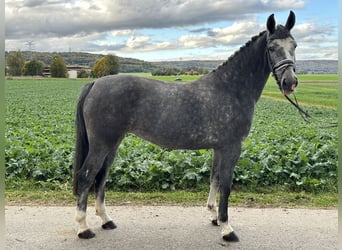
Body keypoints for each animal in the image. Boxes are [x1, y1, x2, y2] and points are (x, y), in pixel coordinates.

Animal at [72, 10, 296, 241]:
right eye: (272, 47)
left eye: (294, 45)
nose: (290, 82)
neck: (230, 88)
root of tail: (95, 83)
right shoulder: (232, 147)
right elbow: (226, 185)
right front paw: (227, 228)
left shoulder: (219, 148)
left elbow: (214, 179)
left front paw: (214, 216)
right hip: (101, 144)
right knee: (86, 176)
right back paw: (83, 228)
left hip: (112, 144)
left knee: (101, 177)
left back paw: (106, 220)